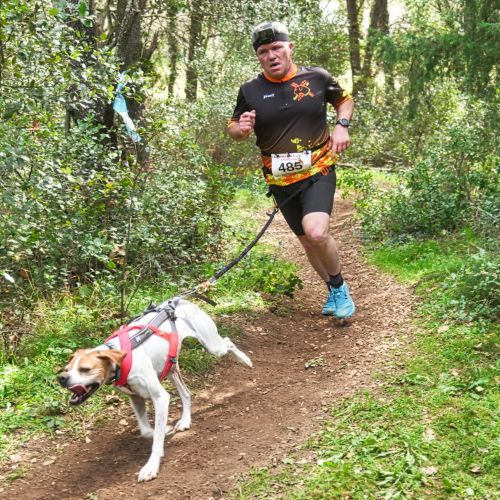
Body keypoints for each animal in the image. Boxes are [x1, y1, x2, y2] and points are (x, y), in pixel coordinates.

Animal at [57, 298, 252, 482]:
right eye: (67, 369)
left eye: (85, 369)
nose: (61, 378)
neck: (120, 358)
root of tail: (180, 300)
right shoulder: (136, 399)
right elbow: (146, 430)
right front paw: (164, 429)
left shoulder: (160, 398)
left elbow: (156, 439)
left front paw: (151, 466)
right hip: (172, 368)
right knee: (186, 394)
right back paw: (185, 420)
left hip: (212, 346)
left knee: (227, 342)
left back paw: (245, 360)